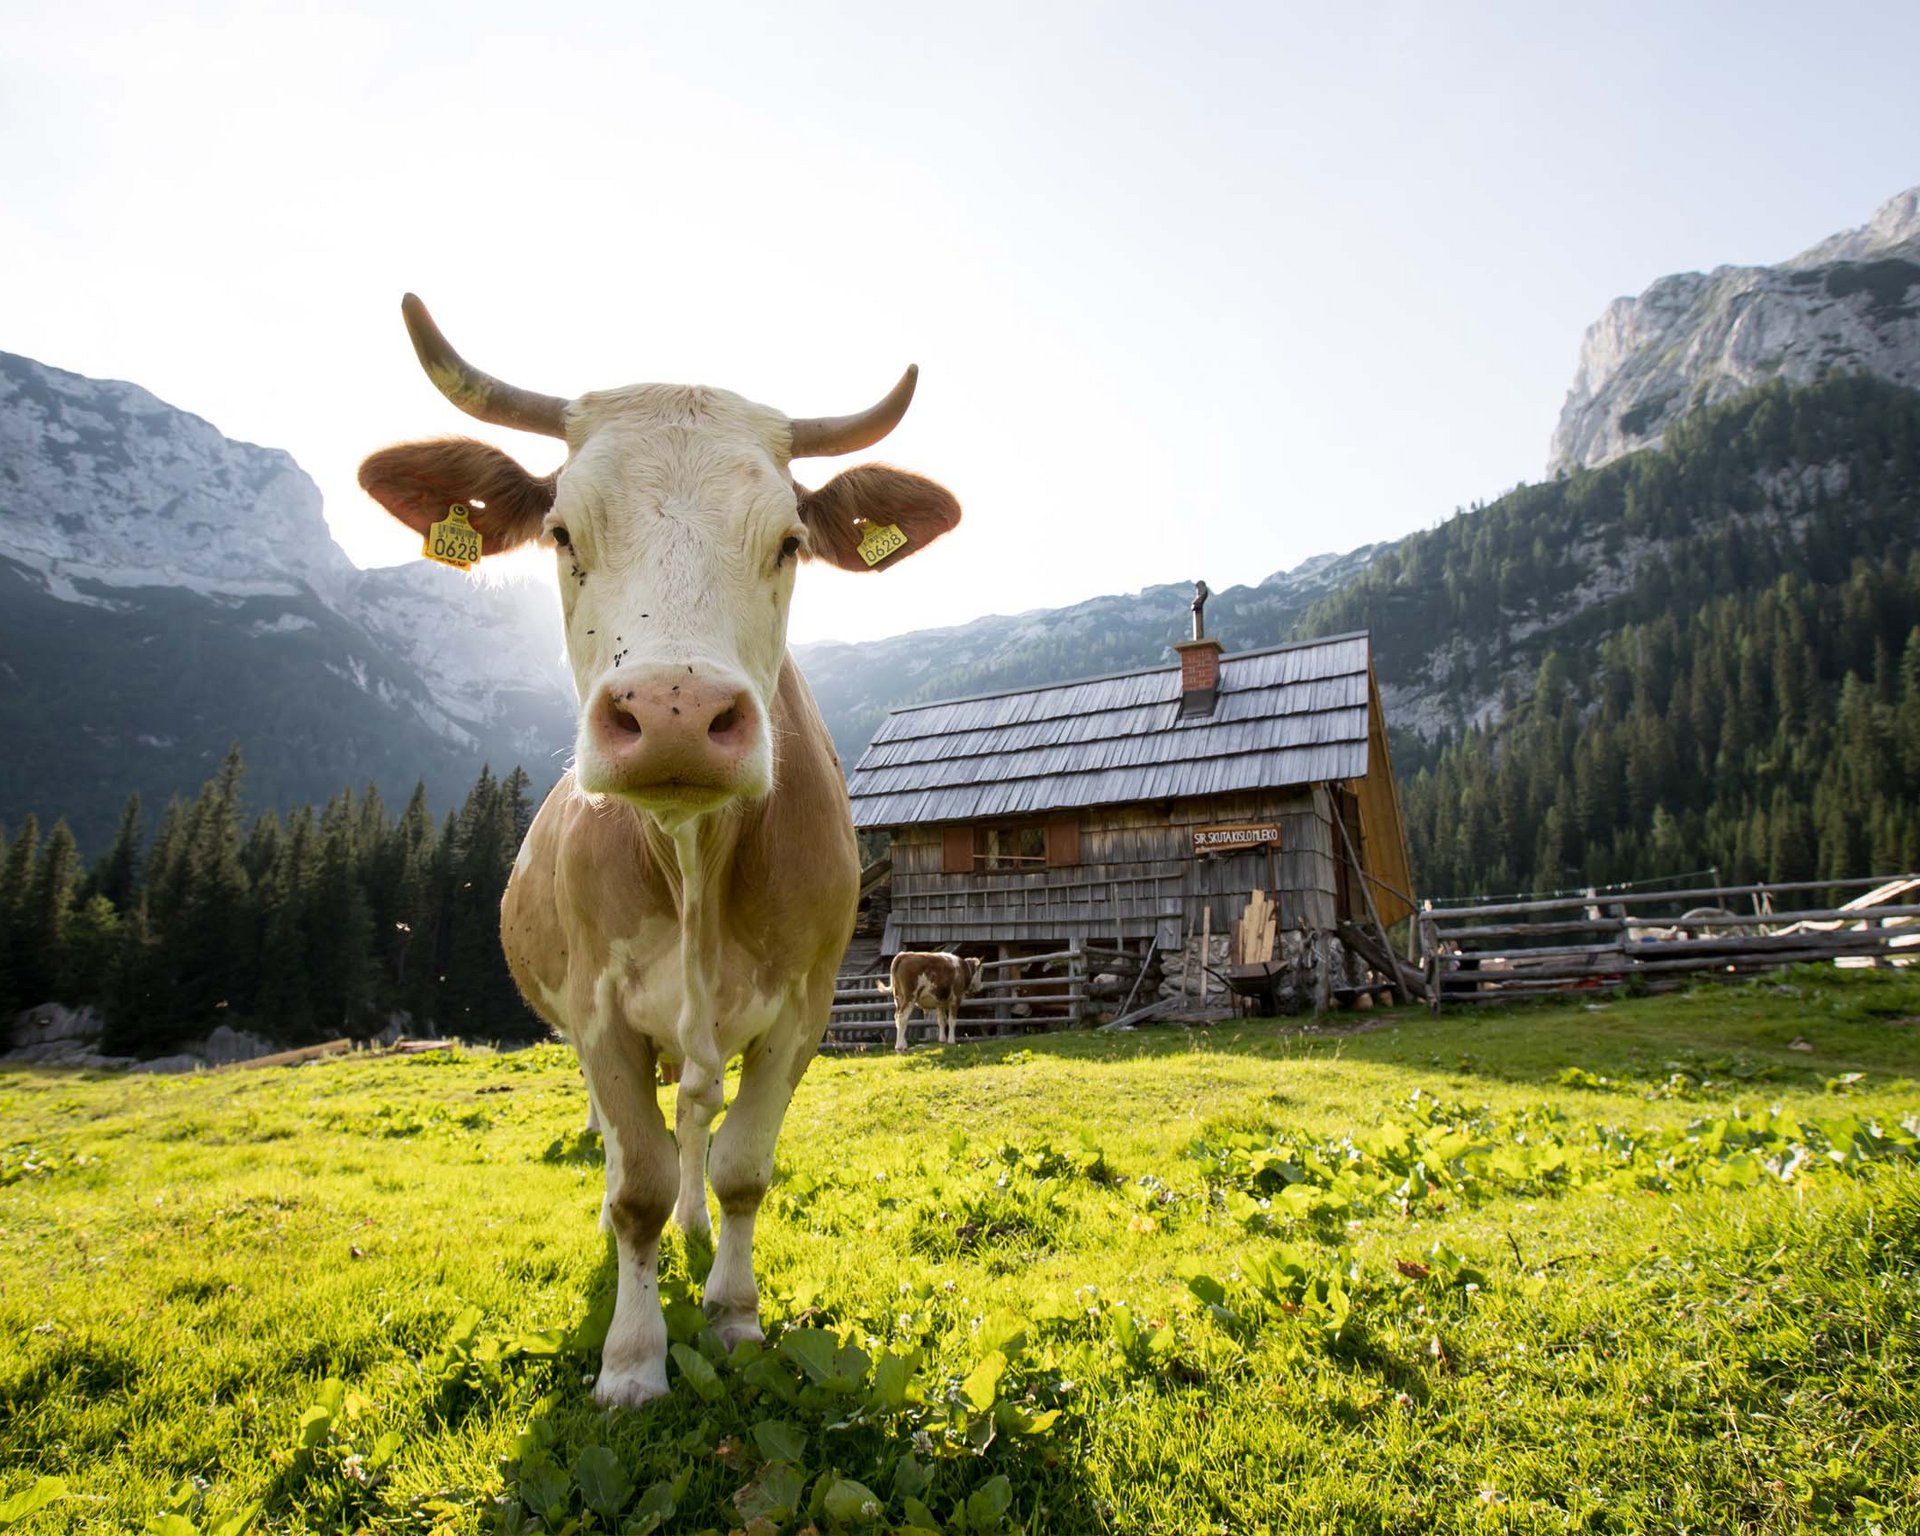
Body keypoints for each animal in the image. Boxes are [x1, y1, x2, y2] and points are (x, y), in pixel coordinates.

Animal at [355, 293, 967, 1413]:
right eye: (560, 530)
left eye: (789, 542)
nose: (676, 714)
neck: (693, 860)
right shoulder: (598, 1008)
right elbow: (635, 1182)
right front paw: (634, 1360)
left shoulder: (804, 1007)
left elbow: (741, 1167)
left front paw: (732, 1313)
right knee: (627, 1142)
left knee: (695, 1118)